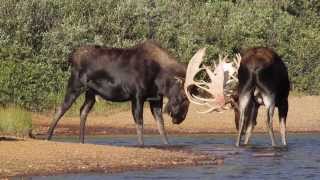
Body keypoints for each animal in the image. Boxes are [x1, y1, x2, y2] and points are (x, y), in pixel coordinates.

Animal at [46, 40, 196, 145]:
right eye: (184, 96)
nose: (180, 118)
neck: (160, 80)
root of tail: (71, 56)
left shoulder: (155, 100)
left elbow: (161, 126)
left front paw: (167, 145)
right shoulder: (137, 96)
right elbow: (139, 123)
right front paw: (141, 145)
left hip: (91, 93)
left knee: (83, 111)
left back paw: (81, 141)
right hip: (75, 85)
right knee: (61, 108)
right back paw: (48, 137)